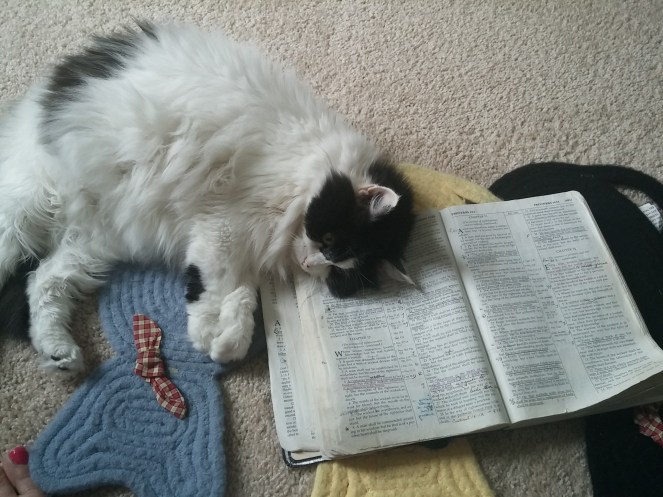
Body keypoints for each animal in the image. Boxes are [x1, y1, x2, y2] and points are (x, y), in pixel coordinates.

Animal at [0, 22, 415, 372]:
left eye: (337, 270)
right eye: (328, 240)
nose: (311, 263)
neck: (304, 167)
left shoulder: (239, 240)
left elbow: (241, 295)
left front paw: (229, 342)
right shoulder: (223, 227)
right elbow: (212, 285)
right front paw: (206, 336)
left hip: (91, 247)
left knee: (42, 282)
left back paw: (61, 354)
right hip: (28, 211)